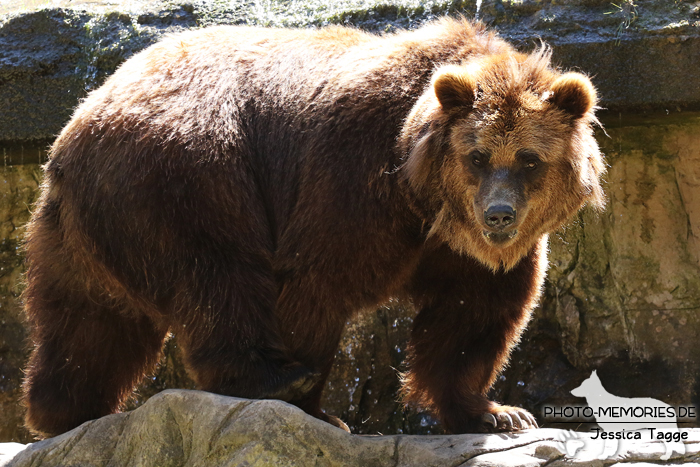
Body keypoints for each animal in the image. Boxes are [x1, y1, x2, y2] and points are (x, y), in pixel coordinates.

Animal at [20, 17, 600, 438]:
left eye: (528, 159)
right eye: (477, 156)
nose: (498, 214)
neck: (425, 200)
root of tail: (79, 122)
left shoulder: (468, 252)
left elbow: (474, 315)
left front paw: (496, 412)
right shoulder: (352, 176)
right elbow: (316, 281)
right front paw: (318, 404)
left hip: (84, 227)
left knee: (89, 320)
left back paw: (67, 410)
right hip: (188, 172)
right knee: (217, 274)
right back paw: (270, 376)